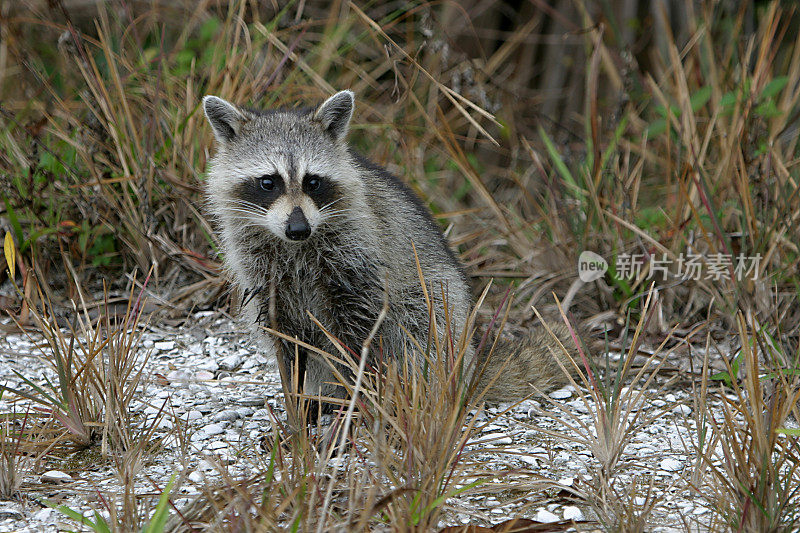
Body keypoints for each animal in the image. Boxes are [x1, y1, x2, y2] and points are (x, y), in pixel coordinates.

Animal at [200, 90, 576, 408]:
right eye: (269, 182)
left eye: (313, 182)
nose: (298, 229)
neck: (293, 245)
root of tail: (470, 361)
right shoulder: (262, 270)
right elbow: (283, 335)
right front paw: (296, 405)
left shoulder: (357, 254)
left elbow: (360, 330)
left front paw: (353, 398)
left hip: (440, 308)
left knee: (420, 328)